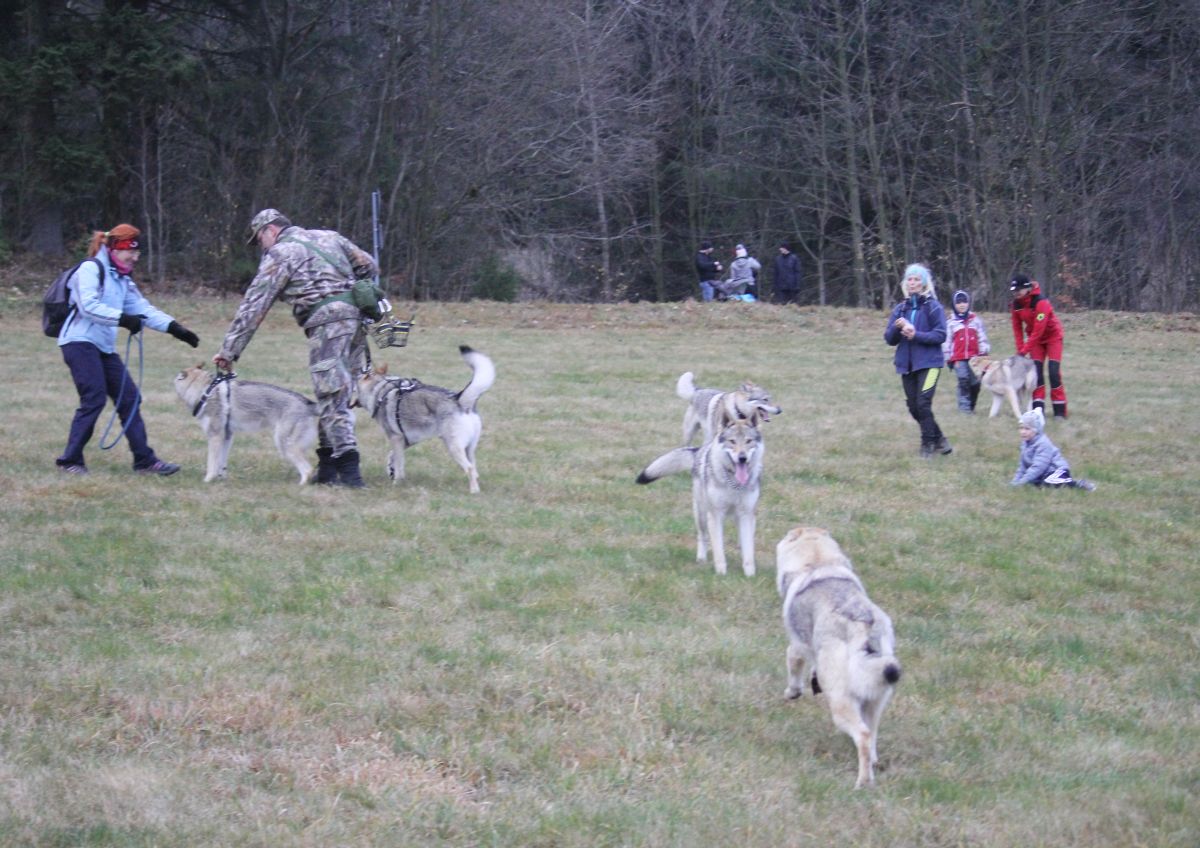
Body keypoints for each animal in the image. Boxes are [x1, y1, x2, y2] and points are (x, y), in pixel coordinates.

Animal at [172, 364, 319, 484]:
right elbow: (221, 463)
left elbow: (211, 463)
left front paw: (208, 480)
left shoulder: (214, 436)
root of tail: (308, 403)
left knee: (307, 470)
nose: (171, 381)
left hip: (285, 445)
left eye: (176, 379)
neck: (205, 391)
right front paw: (222, 479)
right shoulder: (227, 436)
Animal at [352, 343, 494, 491]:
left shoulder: (396, 438)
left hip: (454, 447)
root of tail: (459, 399)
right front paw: (391, 470)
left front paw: (396, 483)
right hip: (469, 449)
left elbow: (399, 464)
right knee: (475, 471)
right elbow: (392, 457)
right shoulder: (407, 440)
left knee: (470, 469)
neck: (380, 390)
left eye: (355, 380)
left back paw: (474, 491)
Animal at [638, 419, 758, 573]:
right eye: (732, 441)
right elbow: (718, 549)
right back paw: (701, 559)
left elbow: (748, 550)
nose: (742, 458)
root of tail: (699, 450)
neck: (735, 484)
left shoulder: (746, 514)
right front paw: (721, 573)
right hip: (701, 515)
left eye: (749, 441)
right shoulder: (715, 515)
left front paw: (749, 574)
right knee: (702, 536)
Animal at [777, 527, 902, 791]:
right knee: (871, 735)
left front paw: (792, 693)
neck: (818, 561)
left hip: (841, 701)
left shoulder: (797, 645)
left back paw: (863, 782)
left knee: (863, 736)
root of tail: (866, 626)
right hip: (875, 699)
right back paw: (873, 766)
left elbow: (793, 666)